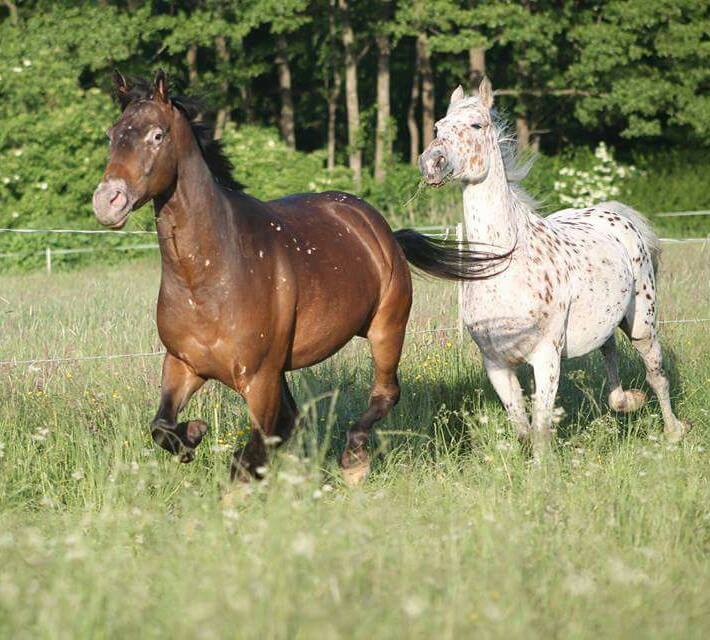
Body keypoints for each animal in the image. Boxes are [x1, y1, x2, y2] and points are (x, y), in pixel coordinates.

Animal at [93, 72, 506, 482]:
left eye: (157, 135)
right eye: (112, 134)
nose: (107, 201)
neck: (205, 280)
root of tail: (381, 229)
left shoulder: (259, 379)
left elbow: (249, 455)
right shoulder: (183, 365)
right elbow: (161, 427)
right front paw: (193, 433)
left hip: (386, 330)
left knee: (385, 393)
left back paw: (354, 459)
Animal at [420, 79, 692, 460]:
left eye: (476, 125)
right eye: (438, 128)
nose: (432, 163)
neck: (506, 268)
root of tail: (613, 214)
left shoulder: (546, 356)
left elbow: (540, 429)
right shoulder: (496, 363)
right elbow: (521, 427)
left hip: (642, 323)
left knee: (656, 375)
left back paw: (672, 432)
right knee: (609, 352)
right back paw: (626, 402)